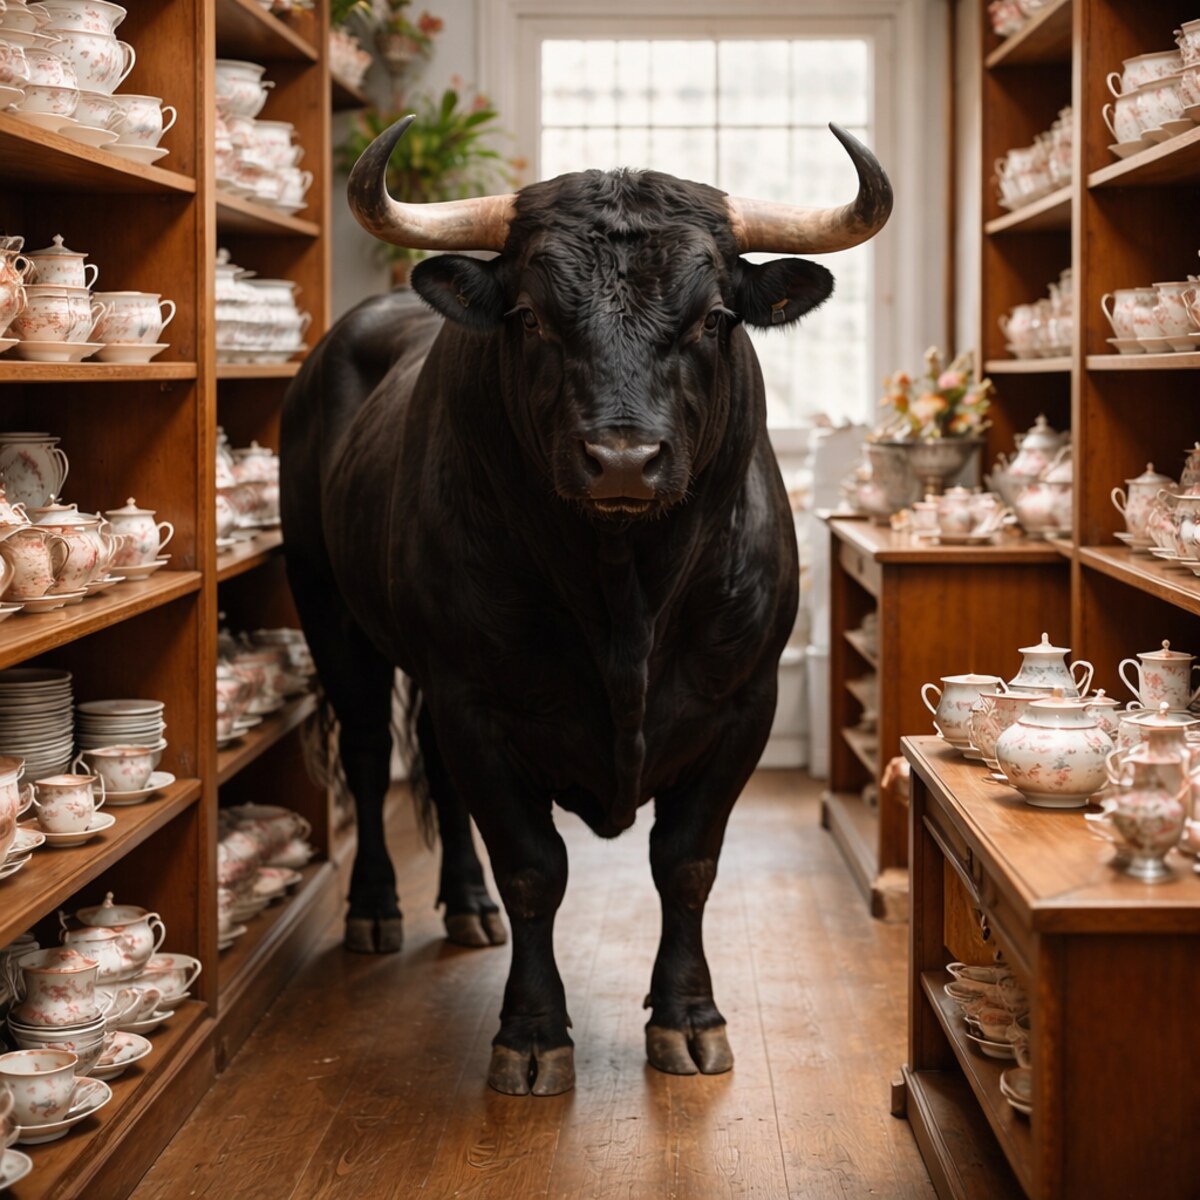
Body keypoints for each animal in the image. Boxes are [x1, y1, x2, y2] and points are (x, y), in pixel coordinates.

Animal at [280, 116, 891, 1096]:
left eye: (713, 318)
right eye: (531, 316)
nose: (623, 460)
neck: (624, 592)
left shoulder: (741, 705)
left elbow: (686, 865)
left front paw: (689, 1019)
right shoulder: (477, 702)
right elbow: (535, 869)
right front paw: (532, 1035)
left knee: (435, 779)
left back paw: (467, 906)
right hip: (332, 616)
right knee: (374, 760)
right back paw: (374, 910)